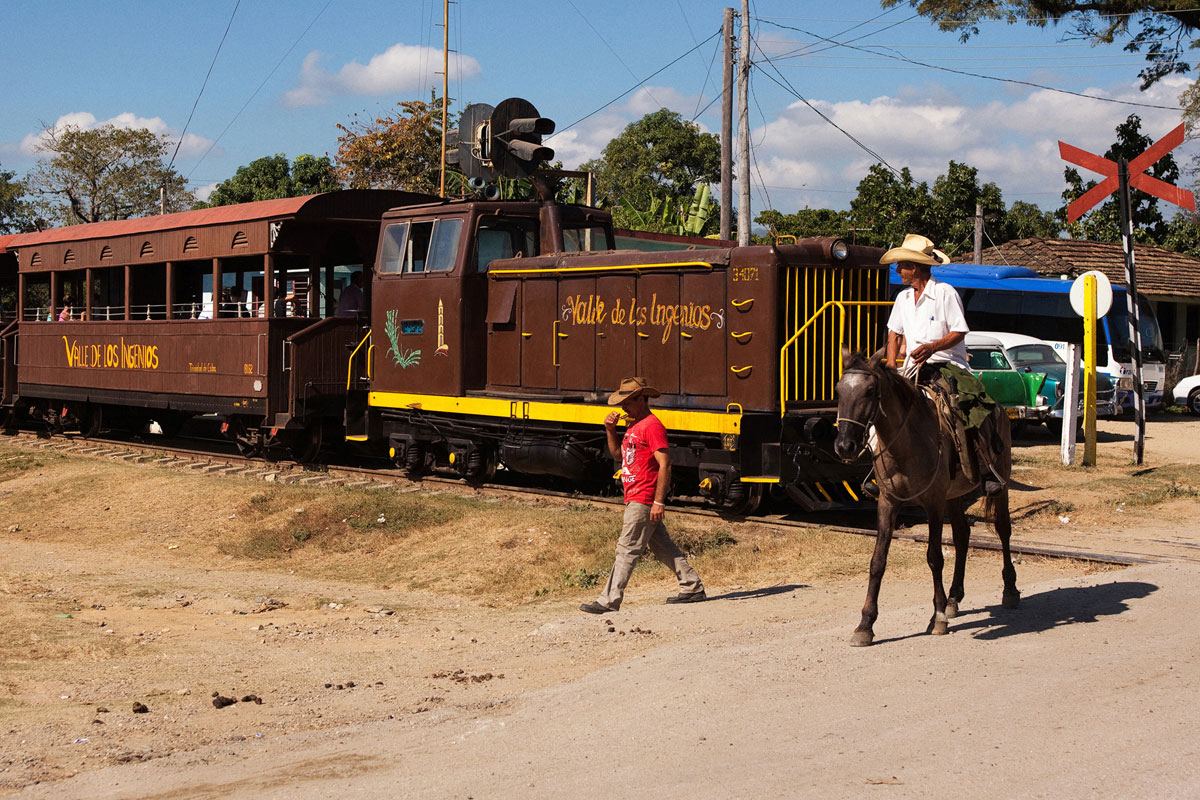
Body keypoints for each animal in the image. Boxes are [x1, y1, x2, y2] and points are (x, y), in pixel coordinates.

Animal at [835, 352, 1022, 647]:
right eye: (839, 391)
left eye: (870, 390)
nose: (845, 446)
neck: (906, 444)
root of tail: (1000, 409)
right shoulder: (887, 502)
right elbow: (878, 562)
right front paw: (865, 625)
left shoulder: (934, 503)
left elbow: (934, 556)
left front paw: (938, 617)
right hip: (954, 495)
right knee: (962, 535)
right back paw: (954, 598)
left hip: (1000, 480)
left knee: (1003, 529)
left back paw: (1010, 590)